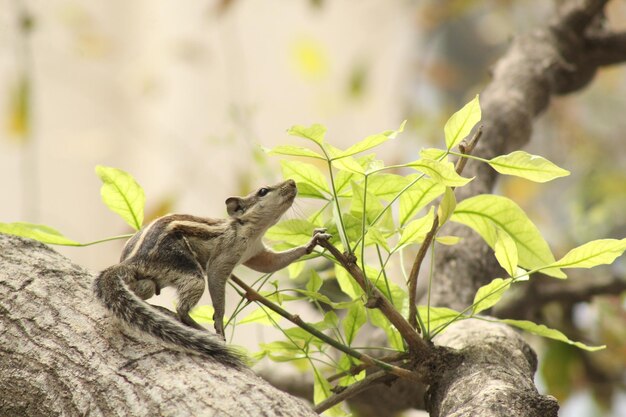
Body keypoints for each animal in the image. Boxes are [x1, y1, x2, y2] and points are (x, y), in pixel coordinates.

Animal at [92, 179, 330, 368]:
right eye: (263, 191)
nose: (292, 182)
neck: (251, 230)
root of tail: (134, 260)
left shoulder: (256, 253)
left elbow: (271, 264)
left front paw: (313, 241)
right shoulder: (225, 256)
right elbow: (217, 284)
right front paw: (219, 324)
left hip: (149, 283)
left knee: (144, 291)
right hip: (190, 273)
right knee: (181, 310)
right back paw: (200, 328)